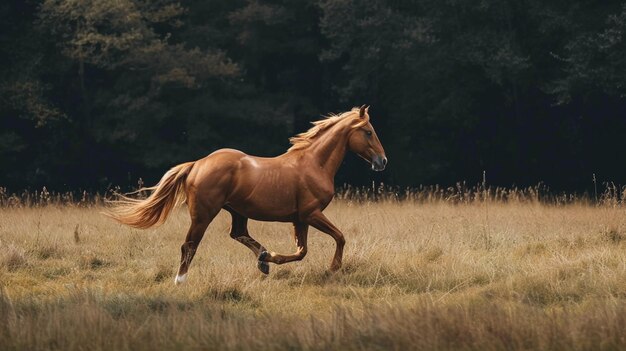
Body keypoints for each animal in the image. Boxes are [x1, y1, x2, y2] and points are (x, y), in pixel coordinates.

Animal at [107, 106, 386, 284]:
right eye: (368, 132)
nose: (382, 161)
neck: (314, 163)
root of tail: (197, 164)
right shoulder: (312, 214)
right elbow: (339, 237)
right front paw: (333, 269)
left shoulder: (300, 218)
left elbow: (302, 251)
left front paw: (269, 258)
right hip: (204, 214)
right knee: (190, 245)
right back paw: (180, 280)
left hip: (238, 211)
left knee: (238, 233)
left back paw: (262, 259)